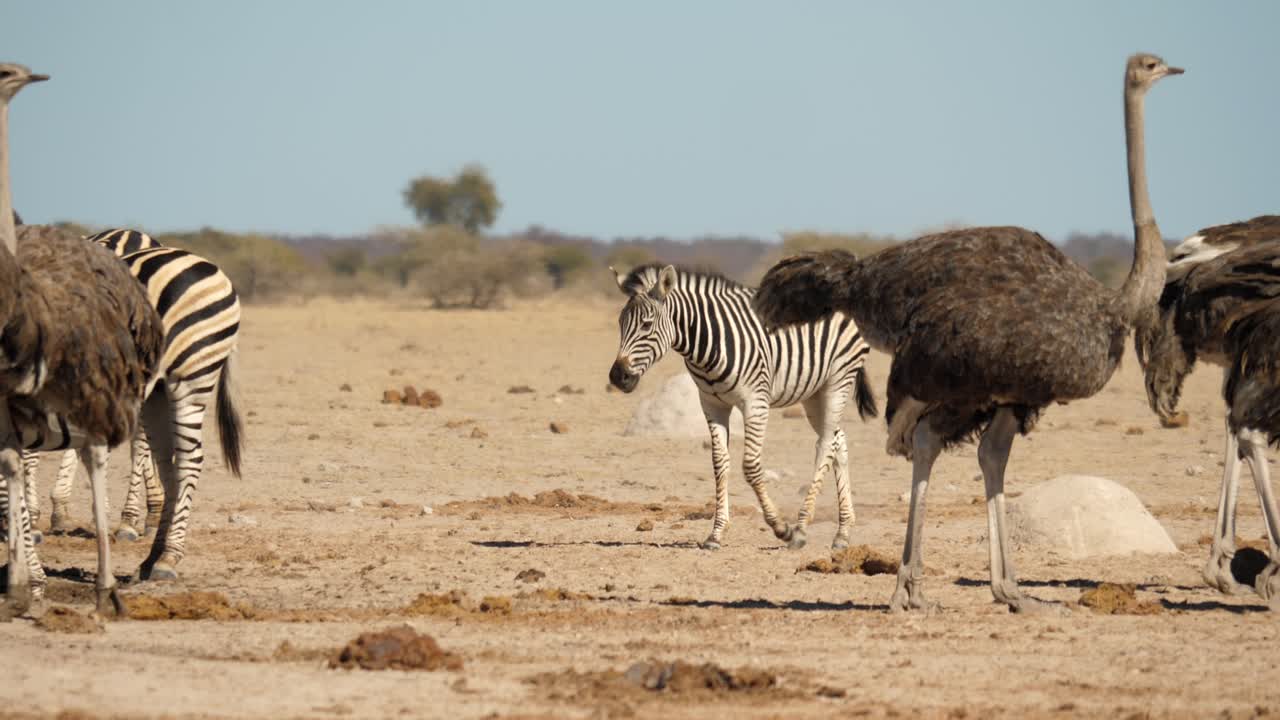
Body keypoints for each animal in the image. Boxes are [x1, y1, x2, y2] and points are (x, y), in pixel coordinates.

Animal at [21, 228, 243, 582]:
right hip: (156, 389)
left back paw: (166, 557)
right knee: (167, 460)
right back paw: (152, 555)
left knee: (187, 458)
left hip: (191, 373)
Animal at [608, 263, 877, 550]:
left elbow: (750, 466)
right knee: (839, 440)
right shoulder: (711, 403)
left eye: (647, 325)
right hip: (814, 391)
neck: (707, 342)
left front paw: (781, 528)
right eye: (620, 323)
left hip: (839, 379)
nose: (617, 377)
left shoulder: (755, 402)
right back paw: (843, 532)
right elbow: (719, 463)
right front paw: (716, 534)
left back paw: (802, 527)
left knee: (825, 445)